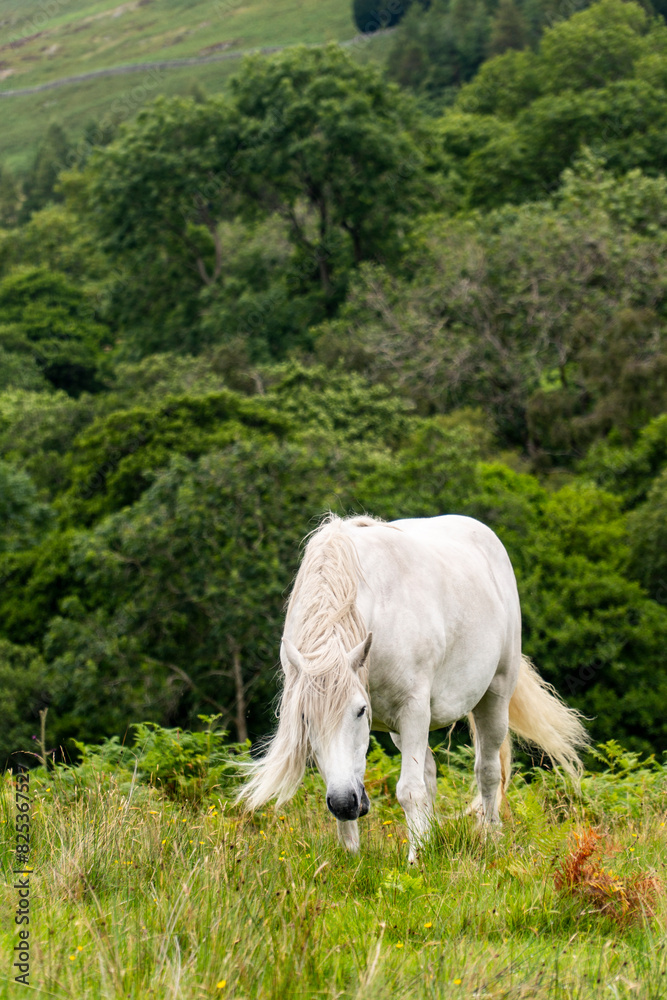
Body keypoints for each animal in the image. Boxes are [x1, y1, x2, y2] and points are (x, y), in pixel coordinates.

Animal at [238, 513, 588, 862]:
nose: (345, 804)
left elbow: (409, 789)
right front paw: (352, 856)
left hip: (494, 697)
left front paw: (415, 861)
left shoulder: (414, 709)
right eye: (304, 718)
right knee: (430, 774)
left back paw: (490, 838)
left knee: (488, 771)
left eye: (360, 711)